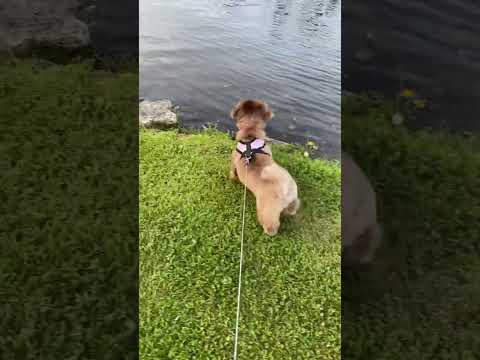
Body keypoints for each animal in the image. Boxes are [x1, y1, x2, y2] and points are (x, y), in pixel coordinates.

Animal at [229, 100, 300, 236]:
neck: (250, 134)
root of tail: (286, 190)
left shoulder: (233, 160)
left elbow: (232, 172)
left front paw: (232, 178)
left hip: (267, 211)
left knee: (270, 225)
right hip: (293, 199)